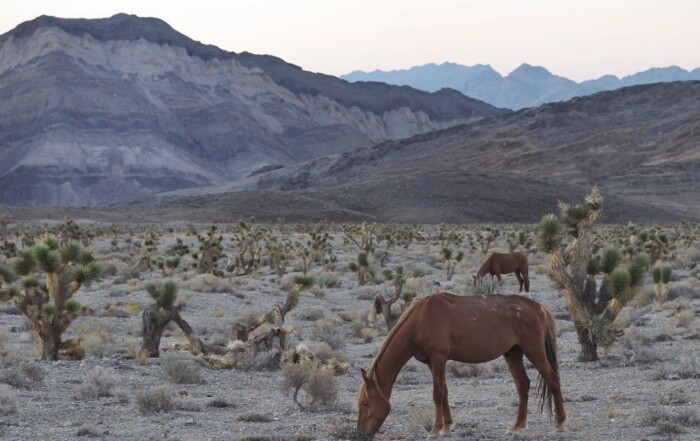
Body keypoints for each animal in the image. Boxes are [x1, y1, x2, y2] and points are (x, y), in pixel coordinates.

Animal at [356, 292, 565, 439]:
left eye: (366, 403)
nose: (360, 434)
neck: (421, 320)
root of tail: (537, 307)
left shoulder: (438, 358)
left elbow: (437, 393)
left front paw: (435, 430)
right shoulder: (432, 362)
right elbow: (445, 392)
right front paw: (447, 427)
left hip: (534, 351)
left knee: (553, 380)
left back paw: (560, 423)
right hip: (513, 354)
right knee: (523, 385)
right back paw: (517, 426)